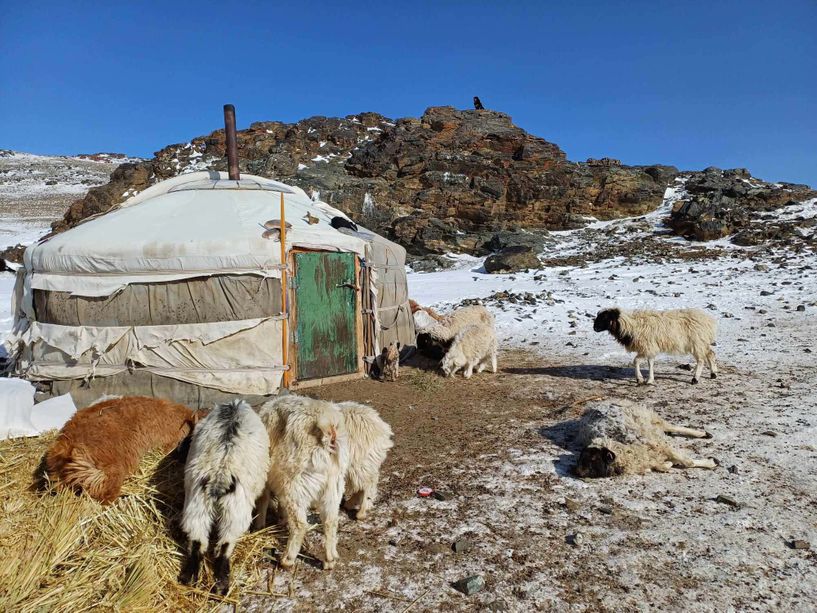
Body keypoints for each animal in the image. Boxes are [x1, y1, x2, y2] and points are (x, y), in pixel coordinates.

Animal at [180, 396, 270, 592]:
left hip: (198, 504)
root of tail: (219, 476)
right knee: (225, 543)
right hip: (235, 510)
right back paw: (222, 583)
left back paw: (189, 577)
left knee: (198, 540)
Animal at [256, 394, 350, 572]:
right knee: (331, 521)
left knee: (300, 525)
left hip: (294, 484)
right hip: (333, 485)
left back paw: (287, 559)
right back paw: (330, 559)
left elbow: (263, 500)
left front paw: (259, 525)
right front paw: (280, 518)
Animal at [572, 396, 716, 478]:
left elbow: (688, 462)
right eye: (580, 457)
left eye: (594, 458)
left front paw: (711, 462)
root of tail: (590, 407)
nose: (577, 472)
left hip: (649, 418)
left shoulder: (662, 446)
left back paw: (703, 434)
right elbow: (661, 466)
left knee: (671, 427)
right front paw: (668, 464)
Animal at [588, 308, 716, 384]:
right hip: (701, 342)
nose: (594, 328)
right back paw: (713, 374)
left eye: (605, 317)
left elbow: (637, 361)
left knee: (701, 360)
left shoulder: (648, 347)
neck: (630, 326)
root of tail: (709, 320)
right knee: (710, 353)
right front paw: (648, 379)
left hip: (697, 342)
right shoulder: (649, 348)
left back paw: (695, 379)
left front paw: (642, 379)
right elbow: (649, 362)